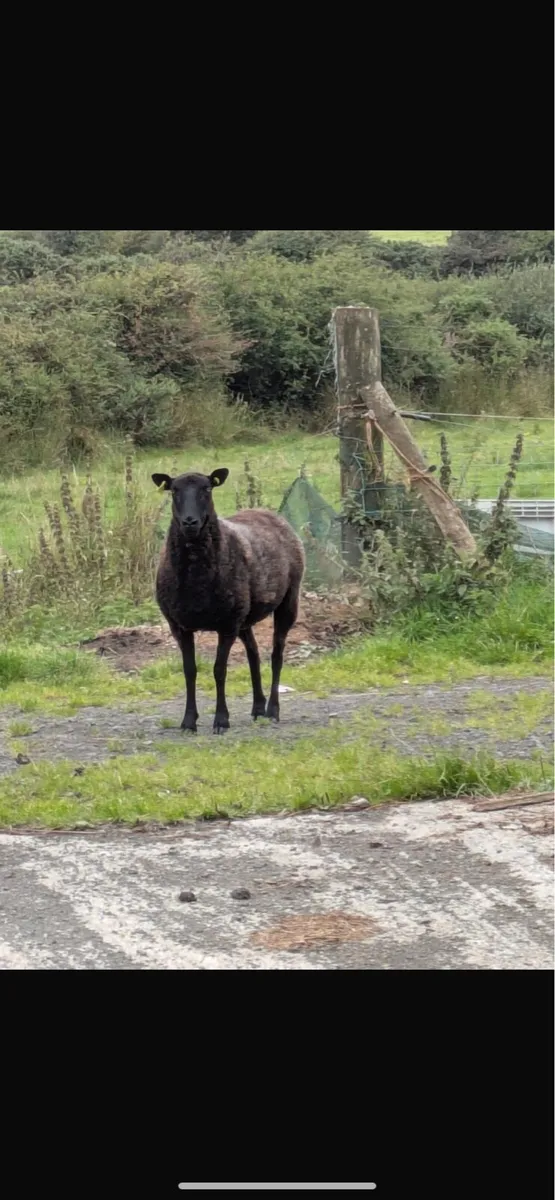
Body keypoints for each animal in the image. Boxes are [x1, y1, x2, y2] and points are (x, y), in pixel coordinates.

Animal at [152, 468, 305, 734]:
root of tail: (269, 513)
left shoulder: (227, 625)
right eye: (174, 490)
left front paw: (221, 720)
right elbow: (190, 671)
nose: (190, 522)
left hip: (286, 602)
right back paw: (257, 708)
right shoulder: (179, 626)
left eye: (207, 489)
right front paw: (188, 721)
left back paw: (272, 710)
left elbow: (219, 670)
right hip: (244, 616)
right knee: (254, 654)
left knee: (276, 656)